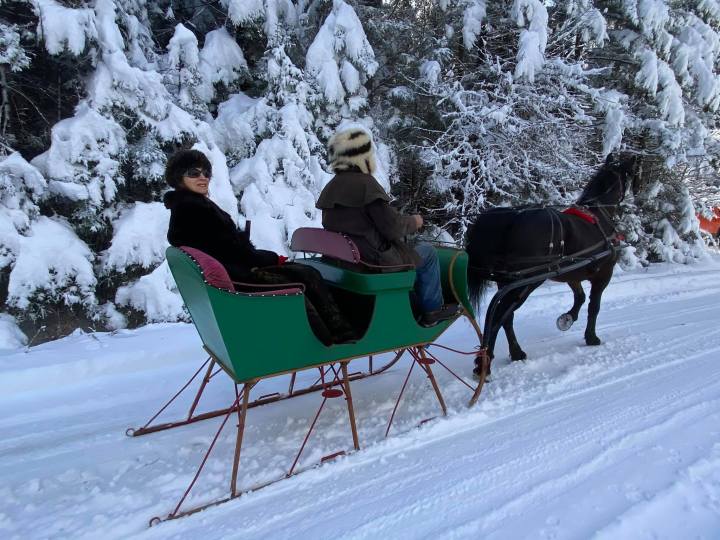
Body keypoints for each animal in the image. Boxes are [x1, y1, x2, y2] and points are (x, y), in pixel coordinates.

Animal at [464, 155, 632, 376]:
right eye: (627, 177)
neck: (598, 214)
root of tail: (512, 217)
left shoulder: (572, 273)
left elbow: (580, 297)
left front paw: (567, 319)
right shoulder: (604, 273)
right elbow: (593, 306)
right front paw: (591, 337)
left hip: (509, 281)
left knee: (506, 316)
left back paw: (515, 353)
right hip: (527, 282)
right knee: (499, 314)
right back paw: (484, 362)